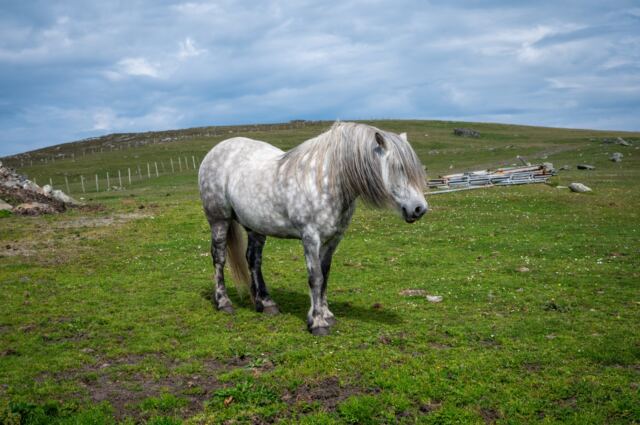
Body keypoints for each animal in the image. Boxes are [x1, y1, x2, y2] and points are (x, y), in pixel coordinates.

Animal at [198, 122, 428, 335]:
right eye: (397, 167)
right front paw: (317, 322)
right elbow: (315, 277)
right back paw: (224, 303)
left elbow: (325, 275)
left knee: (253, 260)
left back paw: (265, 303)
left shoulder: (333, 239)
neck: (326, 181)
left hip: (255, 227)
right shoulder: (310, 237)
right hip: (219, 220)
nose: (419, 209)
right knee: (219, 258)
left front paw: (327, 314)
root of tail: (215, 151)